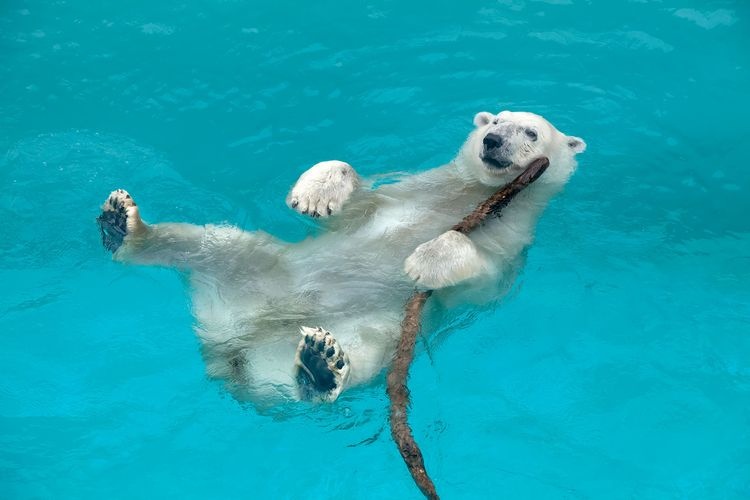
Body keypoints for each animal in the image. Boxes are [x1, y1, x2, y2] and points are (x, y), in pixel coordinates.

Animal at [97, 109, 588, 406]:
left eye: (530, 132)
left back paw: (320, 368)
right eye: (497, 118)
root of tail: (228, 346)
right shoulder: (405, 188)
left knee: (359, 353)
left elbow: (480, 275)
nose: (492, 140)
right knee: (215, 244)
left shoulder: (511, 243)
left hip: (369, 327)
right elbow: (353, 199)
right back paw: (123, 225)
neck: (470, 193)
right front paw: (316, 193)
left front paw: (426, 258)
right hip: (259, 270)